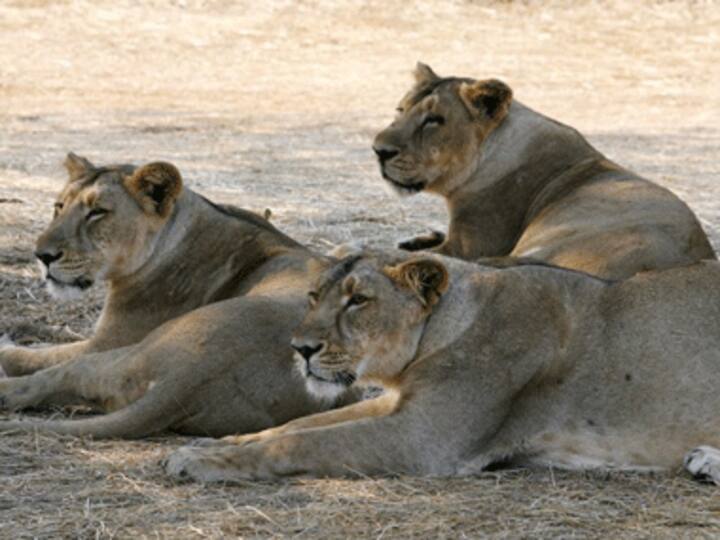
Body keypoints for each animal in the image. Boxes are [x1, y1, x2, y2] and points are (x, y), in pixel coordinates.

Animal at [0, 154, 358, 438]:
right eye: (58, 207)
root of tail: (188, 380)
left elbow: (34, 356)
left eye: (97, 212)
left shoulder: (108, 340)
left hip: (125, 352)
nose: (41, 256)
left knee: (54, 375)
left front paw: (10, 345)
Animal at [164, 251, 720, 484]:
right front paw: (217, 445)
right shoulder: (399, 405)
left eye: (358, 301)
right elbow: (298, 424)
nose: (299, 348)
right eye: (313, 296)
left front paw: (206, 463)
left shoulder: (424, 438)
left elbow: (303, 442)